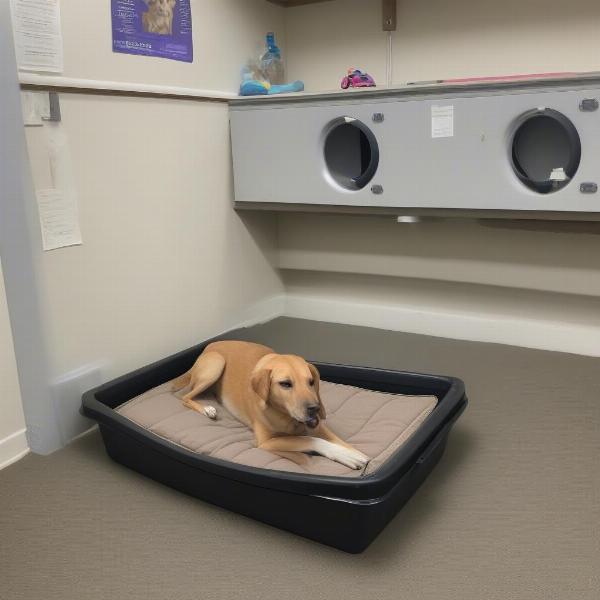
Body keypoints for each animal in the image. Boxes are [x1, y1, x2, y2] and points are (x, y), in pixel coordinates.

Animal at [171, 342, 368, 468]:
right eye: (285, 384)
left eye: (311, 382)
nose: (315, 409)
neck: (286, 416)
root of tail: (207, 347)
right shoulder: (267, 442)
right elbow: (310, 439)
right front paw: (344, 454)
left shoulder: (317, 426)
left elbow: (337, 440)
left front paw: (354, 452)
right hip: (216, 365)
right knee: (185, 397)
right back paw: (206, 409)